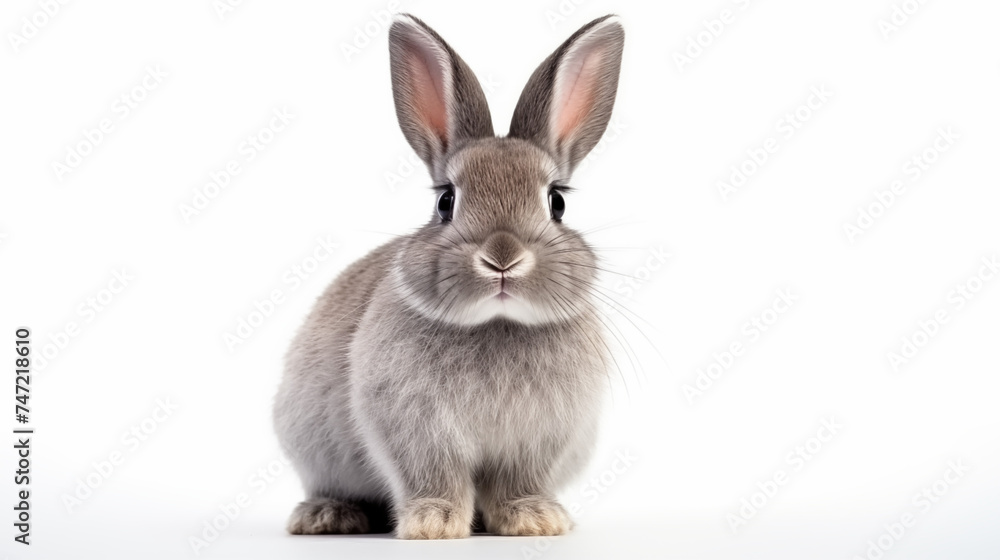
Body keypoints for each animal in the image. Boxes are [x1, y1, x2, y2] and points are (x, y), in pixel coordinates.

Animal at [273, 13, 624, 539]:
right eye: (445, 201)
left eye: (557, 202)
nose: (503, 257)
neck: (497, 323)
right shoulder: (413, 428)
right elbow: (433, 475)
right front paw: (433, 524)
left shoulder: (538, 439)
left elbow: (517, 482)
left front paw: (534, 520)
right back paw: (327, 516)